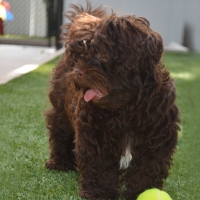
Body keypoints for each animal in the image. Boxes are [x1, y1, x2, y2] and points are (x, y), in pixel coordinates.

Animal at [44, 1, 180, 200]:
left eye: (101, 55)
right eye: (82, 56)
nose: (77, 72)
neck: (127, 107)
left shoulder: (156, 136)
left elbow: (147, 168)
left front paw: (140, 191)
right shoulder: (95, 135)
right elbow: (100, 167)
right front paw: (100, 193)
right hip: (61, 109)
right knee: (60, 132)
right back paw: (59, 163)